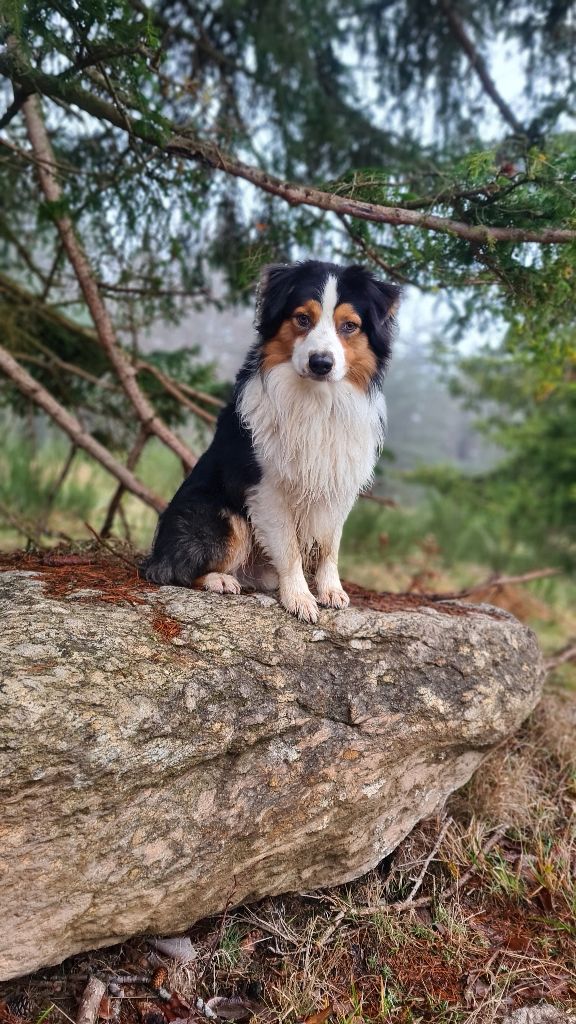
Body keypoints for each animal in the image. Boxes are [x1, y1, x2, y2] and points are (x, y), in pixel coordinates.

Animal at [141, 260, 397, 618]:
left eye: (349, 326)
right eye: (302, 319)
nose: (321, 363)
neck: (317, 400)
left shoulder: (338, 481)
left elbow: (330, 544)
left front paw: (331, 590)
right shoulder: (267, 487)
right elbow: (289, 548)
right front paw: (300, 598)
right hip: (222, 517)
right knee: (173, 570)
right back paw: (219, 579)